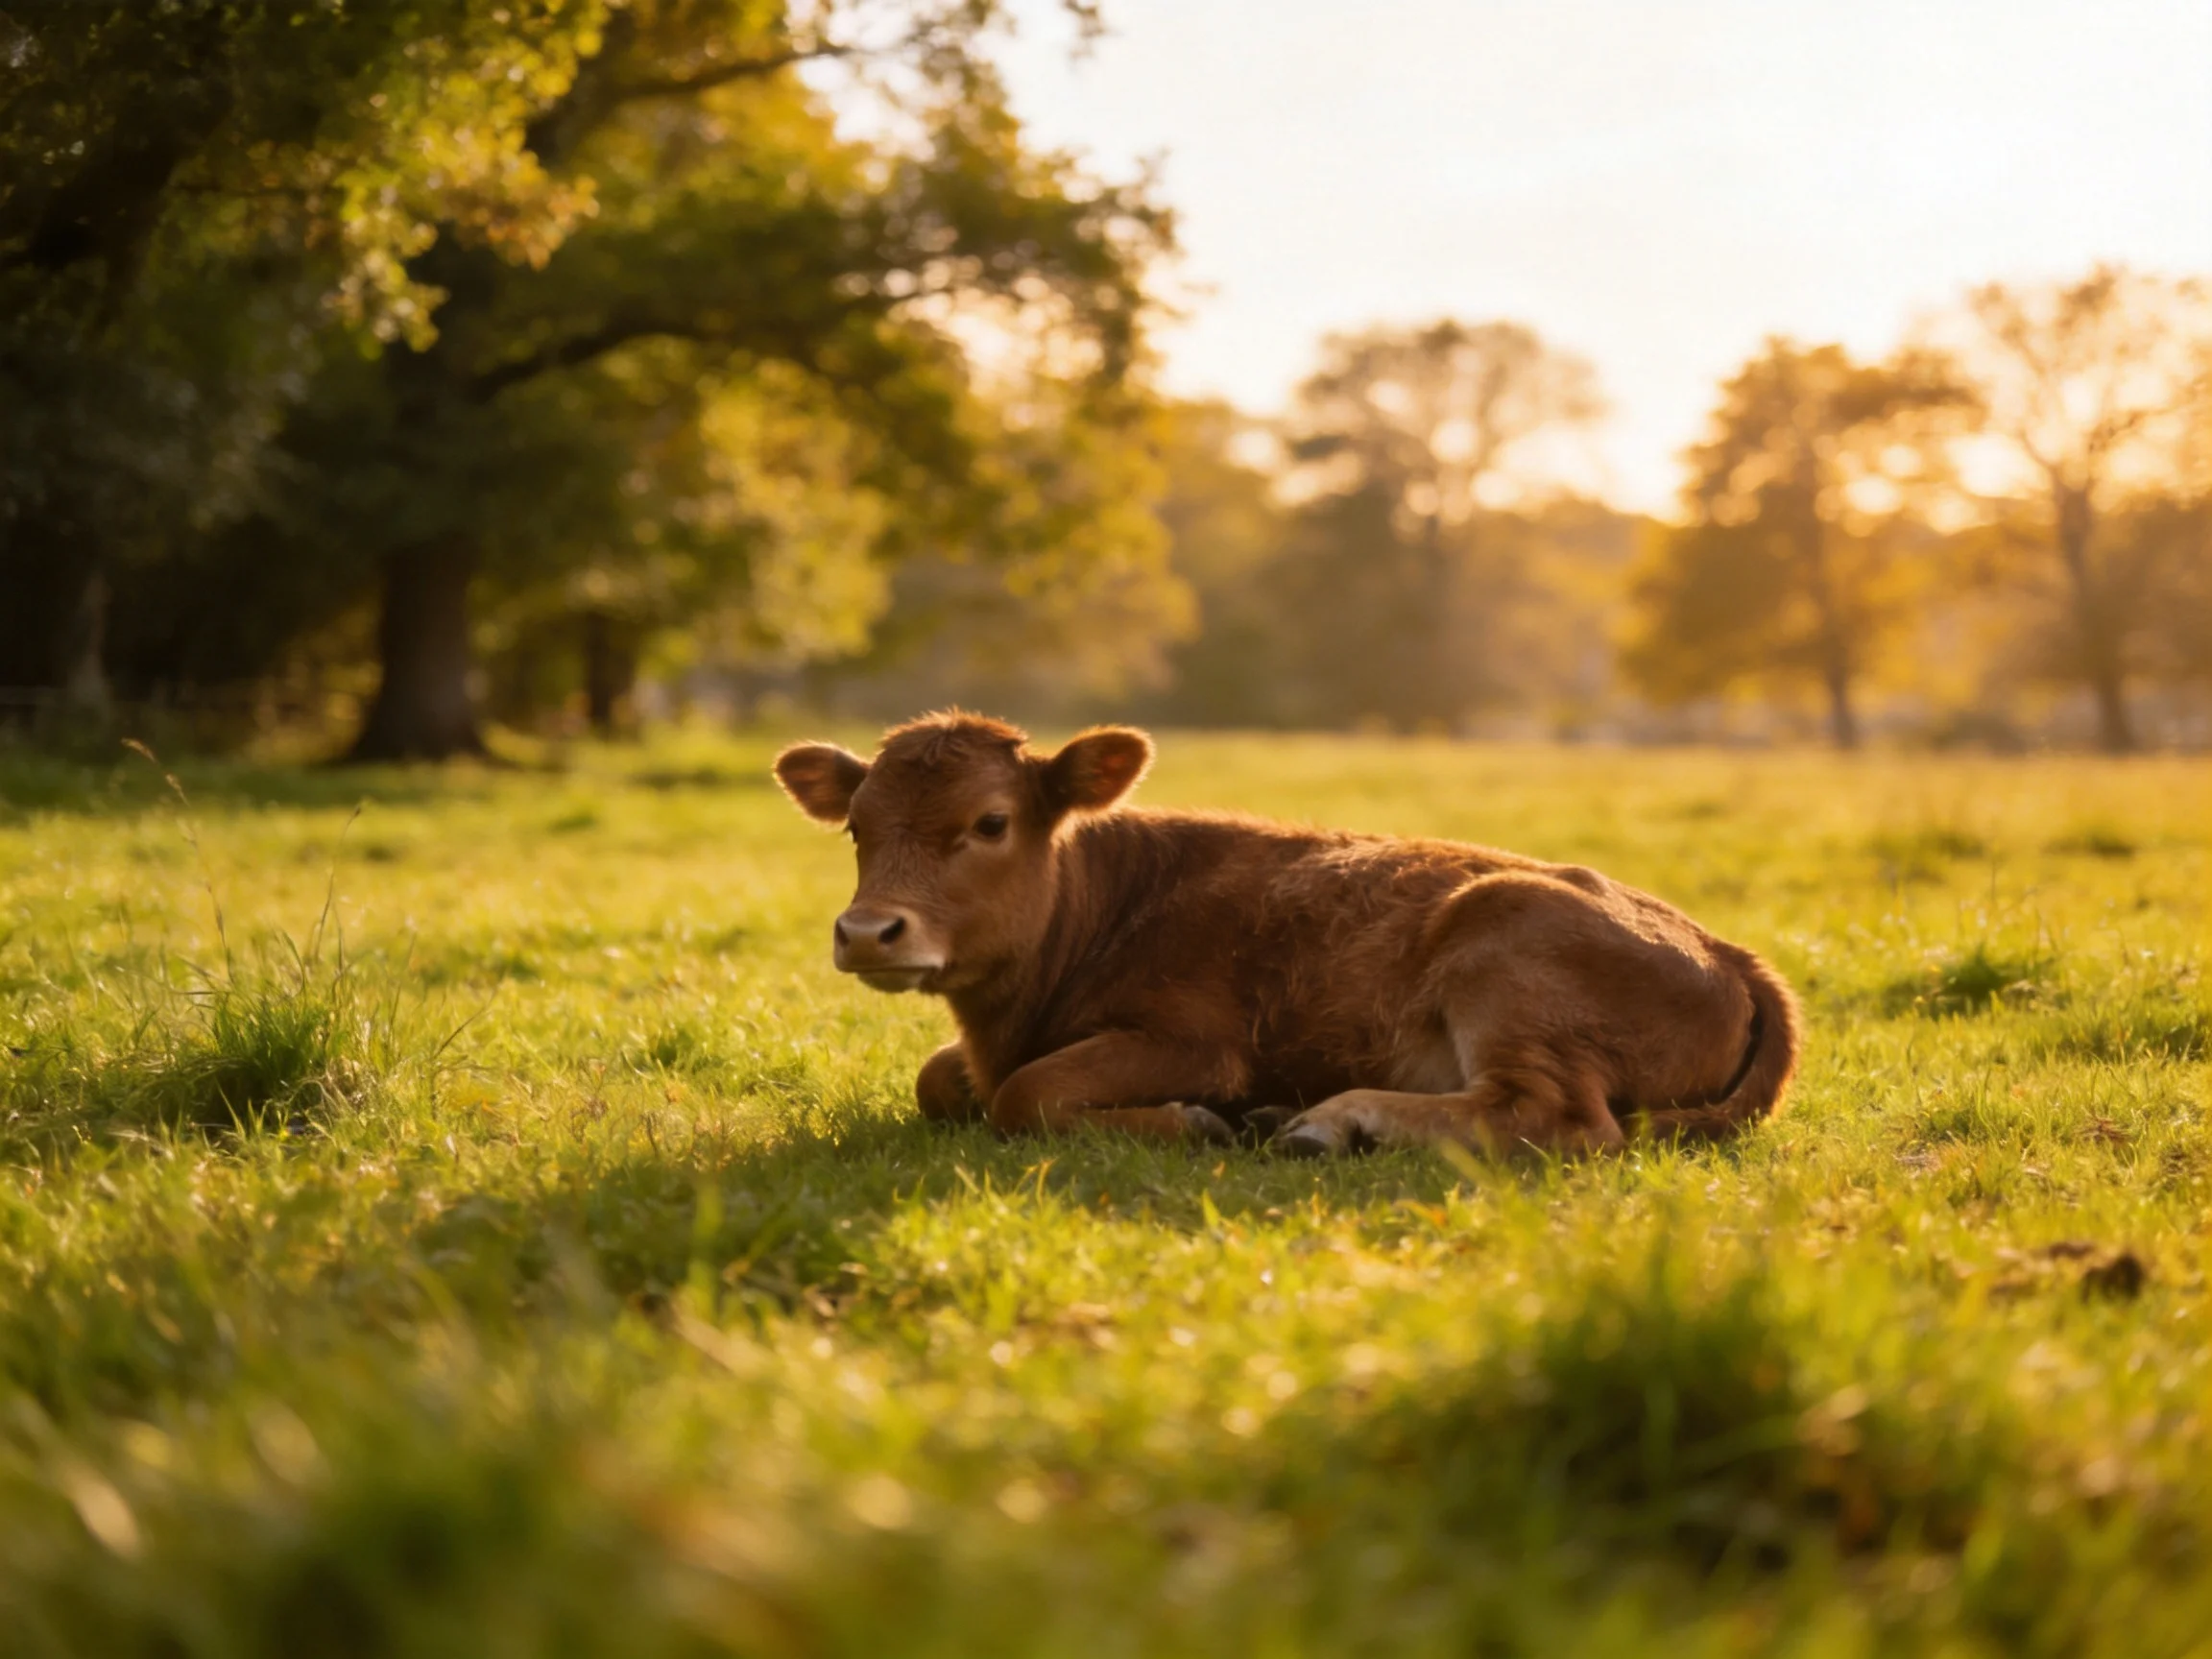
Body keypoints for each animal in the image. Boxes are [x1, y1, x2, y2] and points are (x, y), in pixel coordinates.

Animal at [772, 713, 1799, 1158]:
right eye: (857, 826)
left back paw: (1330, 1120)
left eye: (990, 823)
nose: (868, 932)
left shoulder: (1197, 1041)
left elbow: (1020, 1097)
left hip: (1504, 950)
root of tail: (1731, 955)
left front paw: (1193, 1120)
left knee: (1556, 1119)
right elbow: (942, 1081)